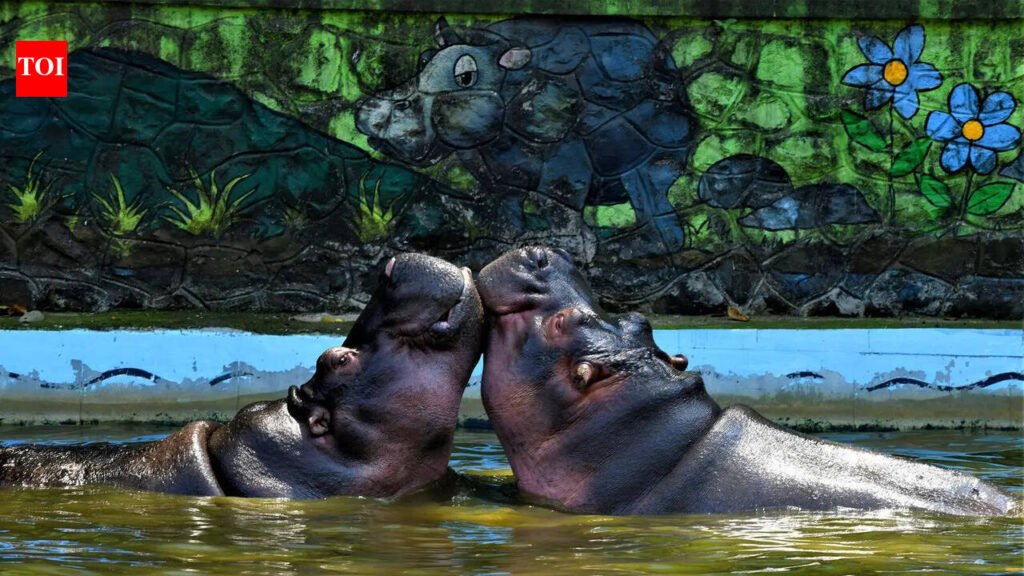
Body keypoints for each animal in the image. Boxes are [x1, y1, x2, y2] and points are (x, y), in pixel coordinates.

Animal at [356, 17, 697, 257]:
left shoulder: (567, 149)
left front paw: (568, 250)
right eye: (424, 59)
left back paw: (627, 250)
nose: (371, 109)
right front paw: (504, 246)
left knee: (647, 184)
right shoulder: (484, 158)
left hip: (658, 129)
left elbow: (557, 198)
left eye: (465, 76)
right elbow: (505, 201)